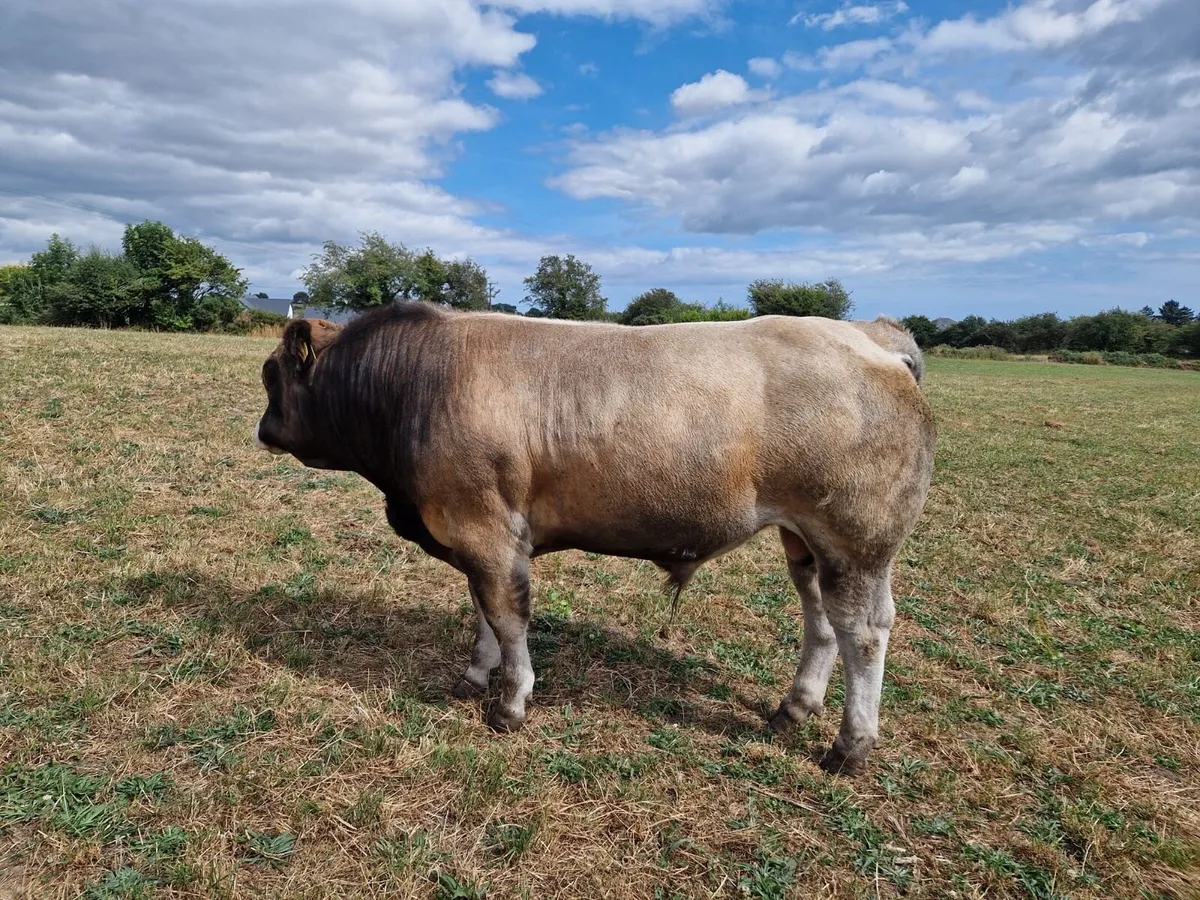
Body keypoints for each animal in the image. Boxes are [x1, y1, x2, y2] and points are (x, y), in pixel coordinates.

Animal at [253, 300, 935, 775]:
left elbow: (506, 614)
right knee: (821, 618)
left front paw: (510, 702)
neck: (415, 385)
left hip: (857, 538)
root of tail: (867, 333)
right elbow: (481, 611)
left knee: (863, 631)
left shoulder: (486, 529)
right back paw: (794, 708)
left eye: (269, 376)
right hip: (807, 540)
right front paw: (475, 676)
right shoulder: (477, 535)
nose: (262, 430)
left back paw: (849, 746)